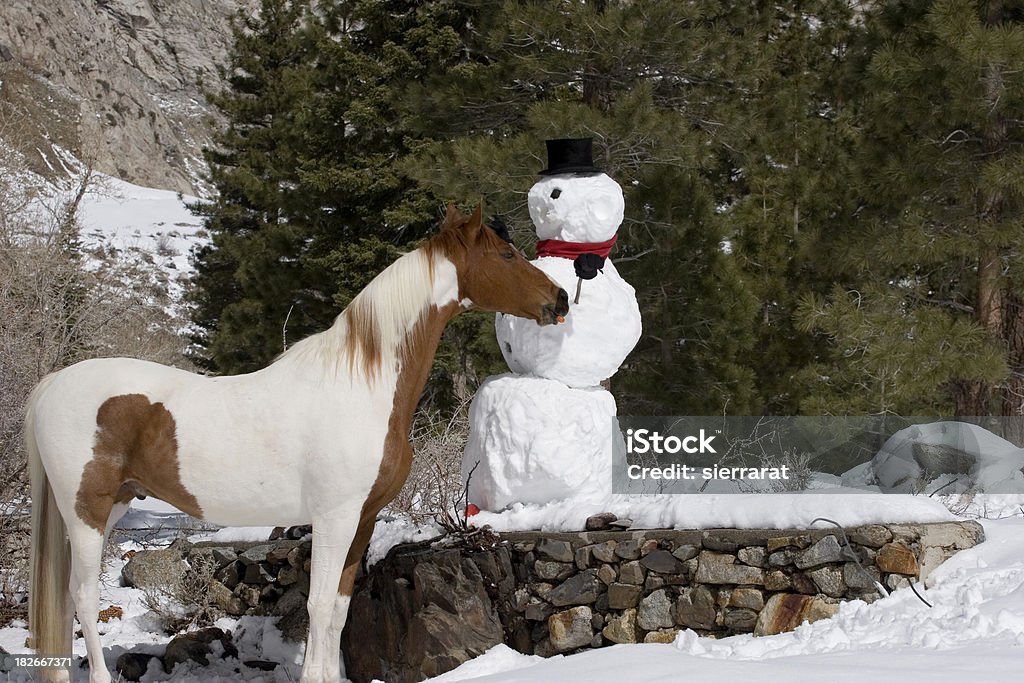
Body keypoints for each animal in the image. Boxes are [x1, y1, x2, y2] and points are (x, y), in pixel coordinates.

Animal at [25, 204, 569, 683]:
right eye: (506, 254)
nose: (561, 299)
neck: (361, 385)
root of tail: (52, 383)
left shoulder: (362, 520)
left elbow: (339, 611)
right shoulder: (334, 518)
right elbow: (319, 605)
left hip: (115, 502)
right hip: (87, 513)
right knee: (82, 598)